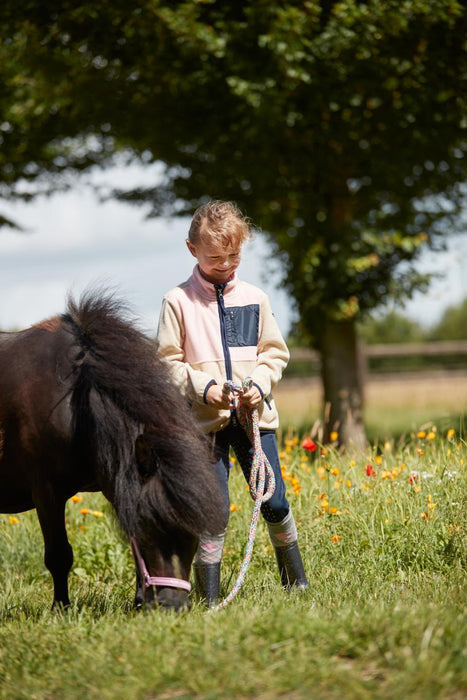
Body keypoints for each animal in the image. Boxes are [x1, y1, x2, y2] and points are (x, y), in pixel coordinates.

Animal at [0, 290, 225, 612]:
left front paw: (139, 600)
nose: (171, 606)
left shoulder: (117, 479)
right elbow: (59, 555)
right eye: (147, 526)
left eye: (195, 529)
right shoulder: (46, 492)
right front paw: (61, 608)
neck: (73, 403)